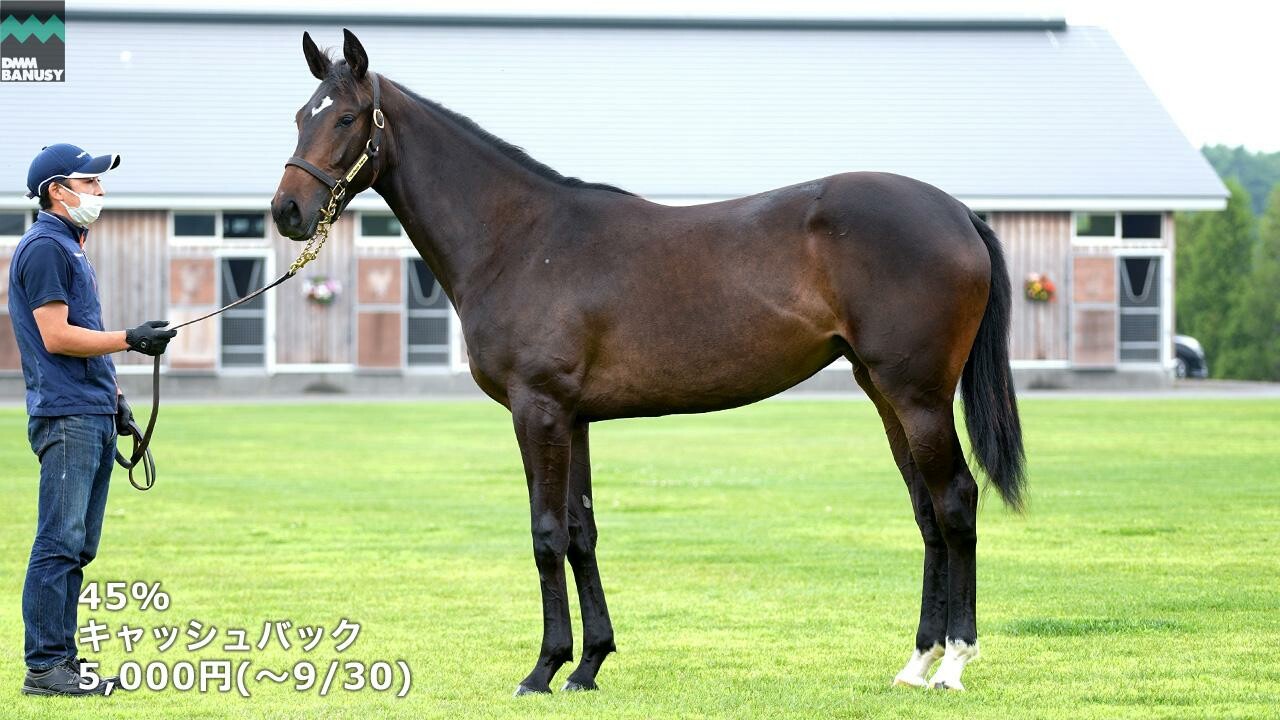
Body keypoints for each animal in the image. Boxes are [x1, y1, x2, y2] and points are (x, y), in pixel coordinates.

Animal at [271, 29, 1026, 695]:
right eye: (300, 115)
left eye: (345, 117)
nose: (287, 210)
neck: (520, 238)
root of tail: (957, 213)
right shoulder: (571, 418)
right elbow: (581, 532)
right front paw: (587, 666)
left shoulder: (536, 409)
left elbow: (546, 533)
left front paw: (542, 670)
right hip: (885, 393)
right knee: (926, 511)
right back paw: (917, 662)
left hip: (919, 395)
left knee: (955, 501)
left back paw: (955, 663)